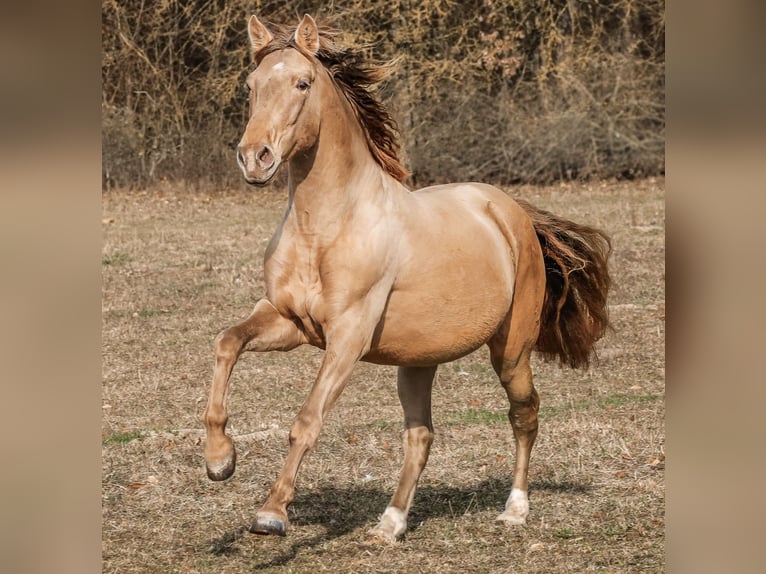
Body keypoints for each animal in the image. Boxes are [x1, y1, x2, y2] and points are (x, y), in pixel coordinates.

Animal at [202, 14, 611, 543]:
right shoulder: (287, 321)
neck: (326, 227)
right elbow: (227, 342)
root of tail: (510, 211)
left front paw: (272, 514)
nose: (255, 158)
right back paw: (391, 522)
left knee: (525, 413)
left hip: (511, 350)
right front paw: (219, 461)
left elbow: (308, 419)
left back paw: (515, 509)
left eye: (302, 83)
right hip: (419, 360)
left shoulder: (347, 337)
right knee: (420, 435)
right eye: (251, 86)